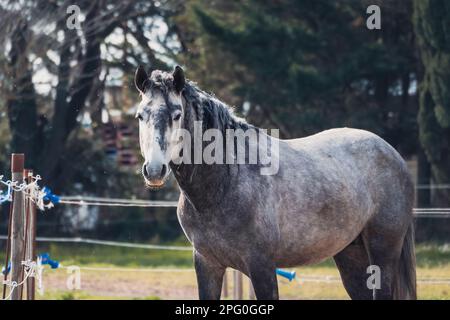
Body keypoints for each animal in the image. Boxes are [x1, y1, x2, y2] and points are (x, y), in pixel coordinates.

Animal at [134, 65, 418, 300]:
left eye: (177, 115)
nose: (155, 170)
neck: (224, 183)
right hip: (351, 254)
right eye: (140, 116)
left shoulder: (261, 266)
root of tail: (393, 154)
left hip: (383, 252)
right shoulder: (207, 264)